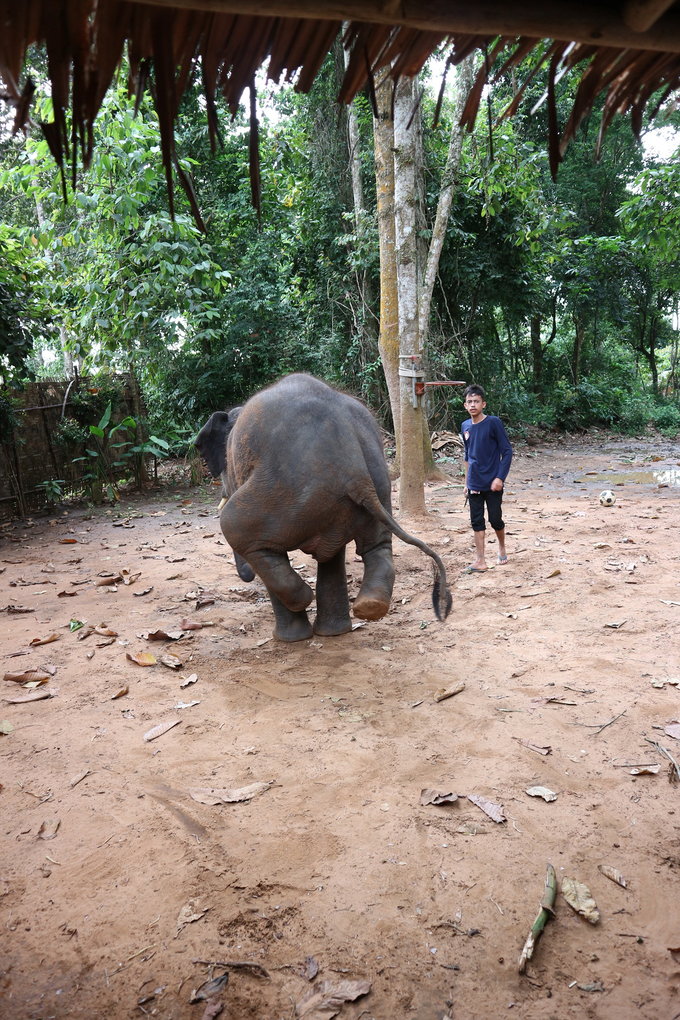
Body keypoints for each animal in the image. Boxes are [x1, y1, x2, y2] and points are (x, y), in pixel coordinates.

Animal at [196, 375, 452, 640]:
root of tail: (354, 470)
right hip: (373, 485)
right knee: (374, 545)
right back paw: (368, 609)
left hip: (288, 492)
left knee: (236, 528)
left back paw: (304, 600)